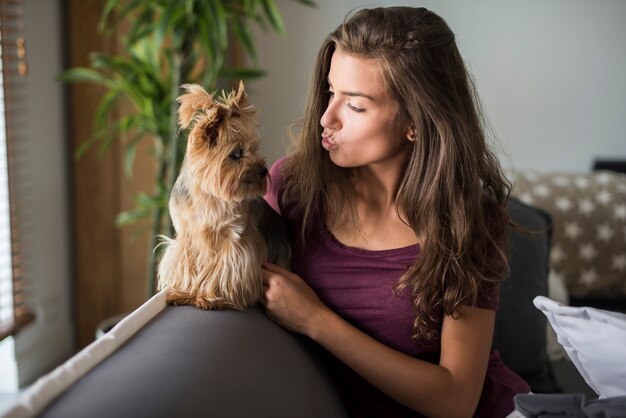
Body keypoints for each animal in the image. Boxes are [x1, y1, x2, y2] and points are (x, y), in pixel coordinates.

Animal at [158, 81, 290, 310]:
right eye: (236, 154)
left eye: (255, 148)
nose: (263, 171)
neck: (210, 194)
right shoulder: (186, 236)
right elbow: (186, 263)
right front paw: (185, 292)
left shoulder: (235, 239)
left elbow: (223, 270)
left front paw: (211, 297)